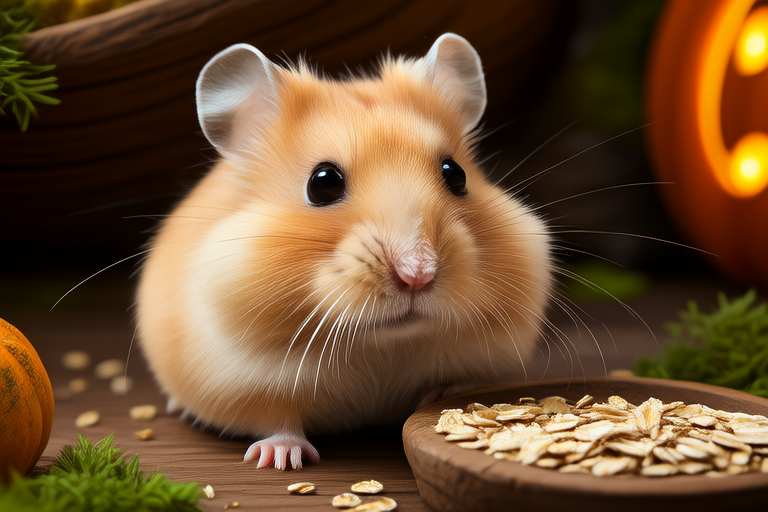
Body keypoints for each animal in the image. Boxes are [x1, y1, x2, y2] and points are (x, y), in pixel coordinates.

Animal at [135, 33, 552, 470]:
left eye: (456, 174)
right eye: (322, 182)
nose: (417, 275)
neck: (382, 345)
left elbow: (463, 383)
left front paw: (446, 399)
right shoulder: (245, 381)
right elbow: (278, 419)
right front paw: (281, 460)